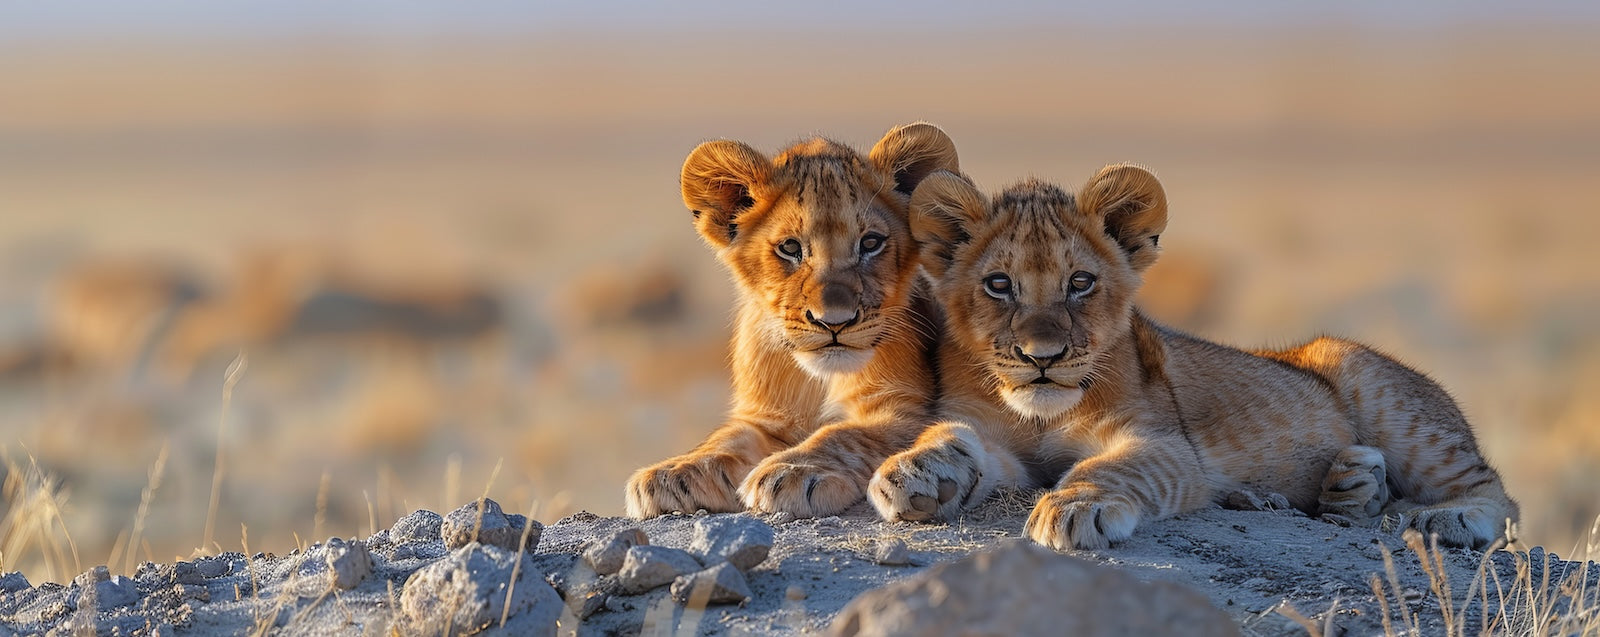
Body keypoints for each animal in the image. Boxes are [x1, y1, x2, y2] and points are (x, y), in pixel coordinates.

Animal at [623, 123, 960, 519]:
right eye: (790, 248)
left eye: (871, 243)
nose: (834, 322)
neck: (817, 378)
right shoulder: (764, 416)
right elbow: (725, 438)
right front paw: (673, 472)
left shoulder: (907, 410)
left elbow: (844, 435)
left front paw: (794, 471)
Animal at [867, 165, 1518, 550]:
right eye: (999, 286)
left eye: (1080, 283)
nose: (1042, 357)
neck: (1040, 410)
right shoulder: (995, 440)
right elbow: (949, 436)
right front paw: (915, 474)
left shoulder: (1164, 444)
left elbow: (1111, 469)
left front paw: (1074, 508)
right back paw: (1344, 489)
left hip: (1375, 386)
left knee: (1495, 494)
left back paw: (1444, 518)